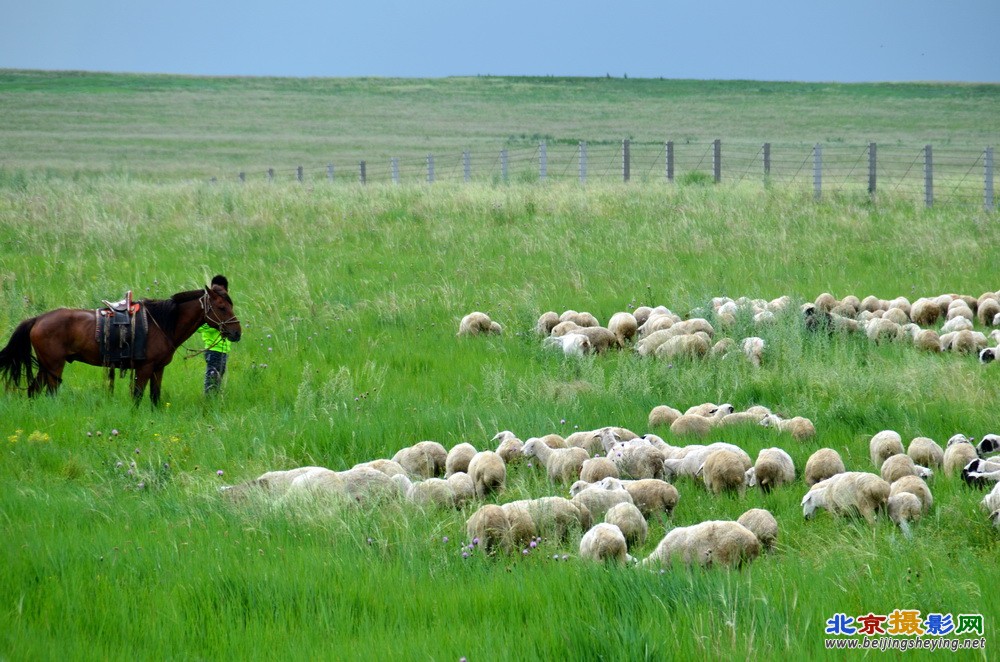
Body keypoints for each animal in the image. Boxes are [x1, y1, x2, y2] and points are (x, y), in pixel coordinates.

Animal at [0, 282, 241, 404]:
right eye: (221, 307)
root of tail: (38, 319)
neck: (163, 324)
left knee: (33, 391)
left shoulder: (158, 369)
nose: (237, 332)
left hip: (46, 366)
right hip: (53, 367)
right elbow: (137, 397)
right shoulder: (144, 368)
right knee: (49, 392)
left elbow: (154, 397)